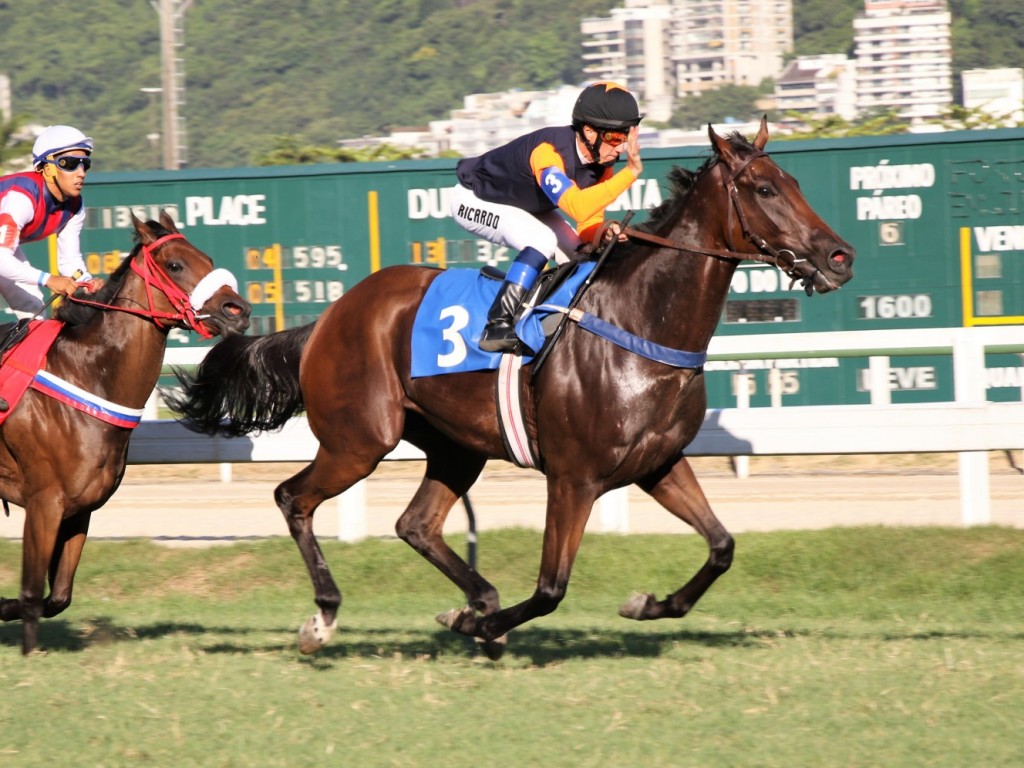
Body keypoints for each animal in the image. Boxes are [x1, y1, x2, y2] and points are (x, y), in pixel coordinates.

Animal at [1, 211, 249, 655]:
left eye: (206, 258)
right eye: (175, 265)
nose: (239, 309)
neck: (86, 376)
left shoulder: (80, 508)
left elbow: (58, 596)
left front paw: (5, 607)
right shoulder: (44, 502)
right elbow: (31, 593)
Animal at [169, 123, 856, 659]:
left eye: (795, 183)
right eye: (764, 189)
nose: (840, 256)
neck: (642, 321)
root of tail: (329, 317)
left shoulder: (658, 463)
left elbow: (721, 547)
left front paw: (646, 604)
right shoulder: (575, 477)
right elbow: (551, 589)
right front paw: (480, 626)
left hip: (455, 446)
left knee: (415, 525)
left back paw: (476, 599)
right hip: (358, 440)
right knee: (294, 498)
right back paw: (326, 616)